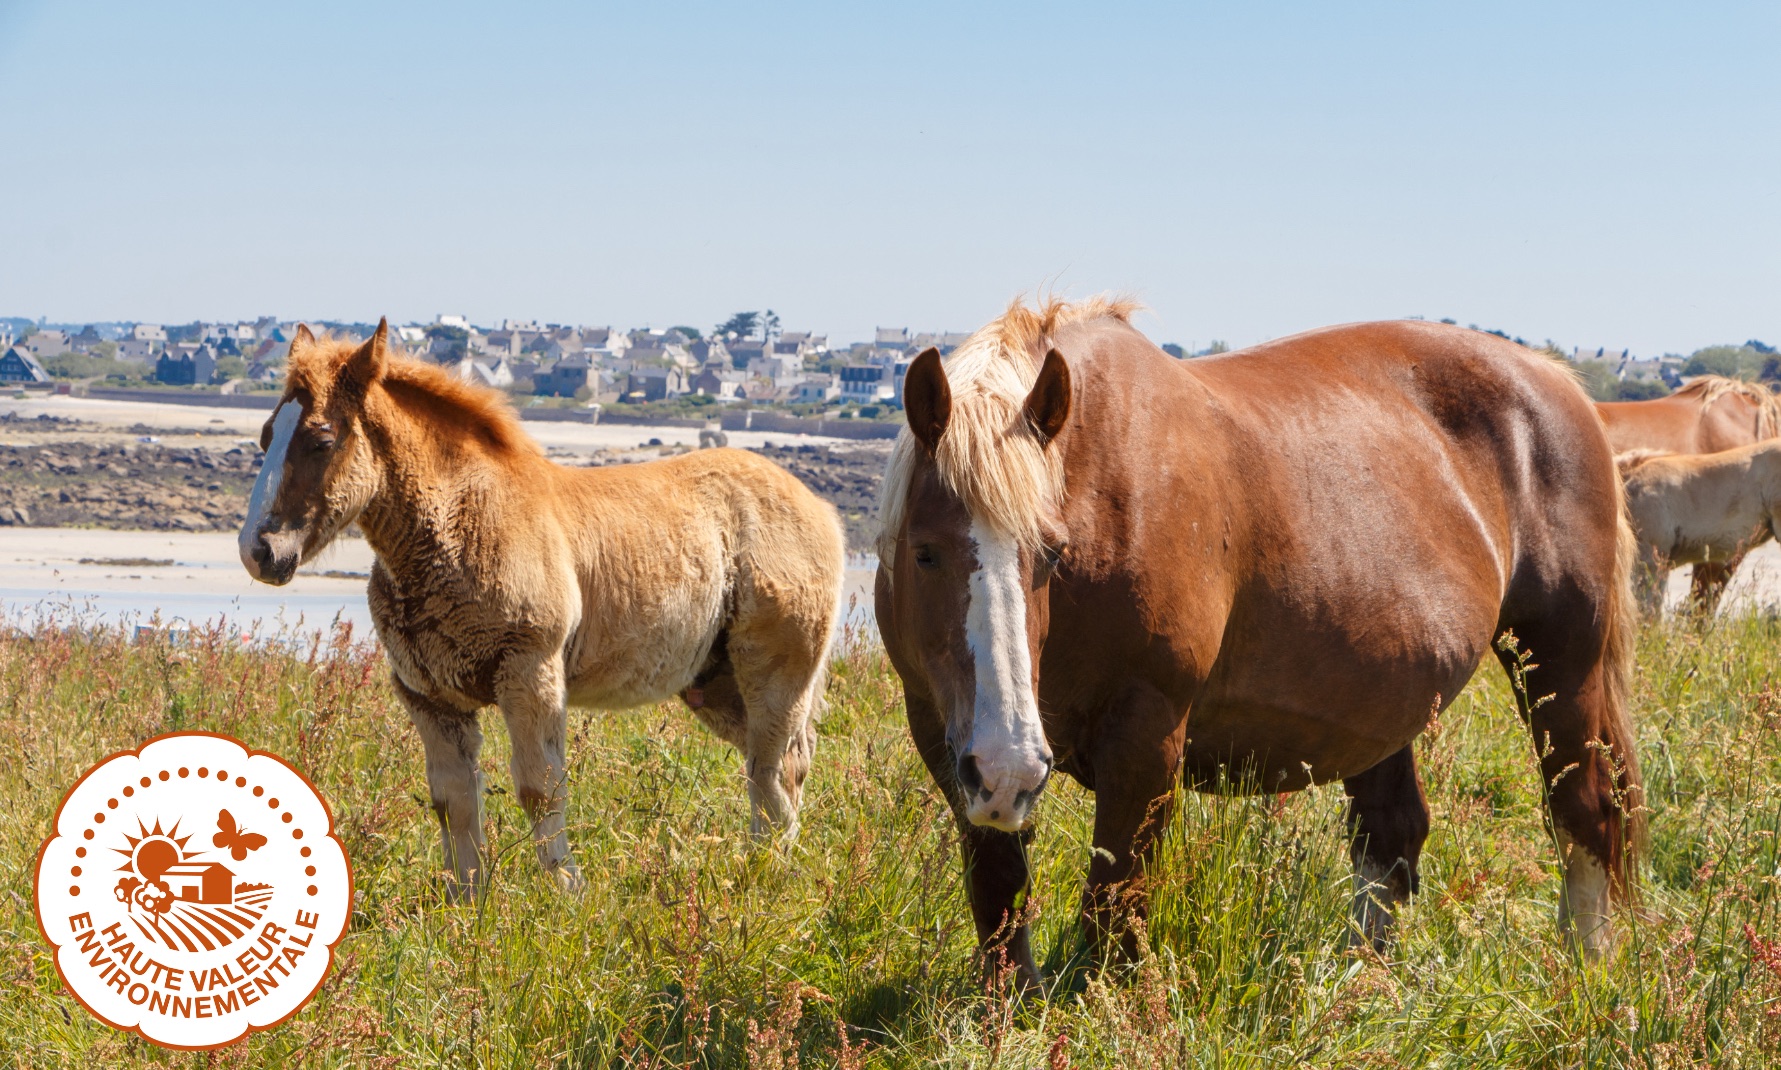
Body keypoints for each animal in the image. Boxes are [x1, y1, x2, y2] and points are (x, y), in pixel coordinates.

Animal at [240, 320, 844, 890]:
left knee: (772, 766)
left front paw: (566, 892)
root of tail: (820, 507)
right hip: (714, 683)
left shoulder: (530, 672)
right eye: (267, 434)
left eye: (321, 439)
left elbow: (540, 789)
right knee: (781, 761)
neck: (463, 520)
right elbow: (453, 800)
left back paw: (770, 870)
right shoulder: (427, 694)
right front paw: (466, 903)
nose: (258, 551)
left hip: (774, 669)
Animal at [876, 300, 1638, 982]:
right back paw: (1359, 984)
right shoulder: (947, 740)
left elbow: (1115, 906)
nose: (1009, 766)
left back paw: (1587, 970)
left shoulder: (1146, 738)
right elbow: (998, 892)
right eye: (923, 552)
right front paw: (1008, 1011)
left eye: (1053, 554)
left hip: (1560, 668)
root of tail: (1560, 384)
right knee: (1391, 833)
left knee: (1586, 813)